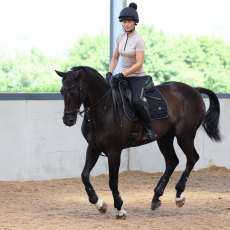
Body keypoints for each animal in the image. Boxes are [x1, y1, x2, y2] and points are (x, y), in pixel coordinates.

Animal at [55, 65, 221, 219]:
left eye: (74, 92)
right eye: (62, 92)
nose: (68, 120)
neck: (105, 109)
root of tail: (194, 90)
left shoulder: (114, 151)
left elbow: (112, 181)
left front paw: (120, 209)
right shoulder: (93, 147)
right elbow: (84, 176)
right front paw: (99, 204)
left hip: (184, 135)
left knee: (192, 158)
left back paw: (179, 195)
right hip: (165, 138)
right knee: (172, 161)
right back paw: (156, 197)